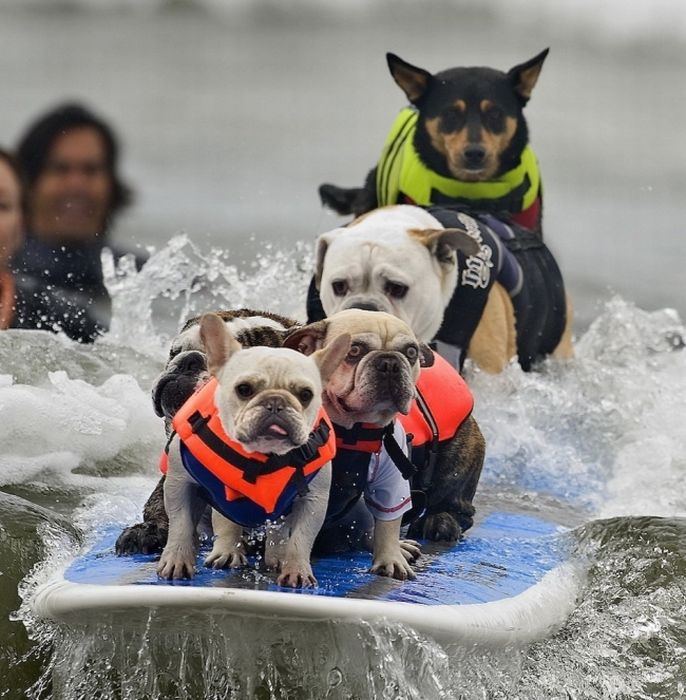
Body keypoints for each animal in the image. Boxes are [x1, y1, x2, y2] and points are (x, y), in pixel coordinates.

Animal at [156, 314, 350, 584]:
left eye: (305, 394)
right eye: (174, 352)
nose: (189, 360)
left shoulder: (313, 498)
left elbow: (300, 537)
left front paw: (295, 569)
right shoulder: (183, 484)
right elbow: (183, 523)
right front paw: (178, 559)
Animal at [282, 308, 486, 556]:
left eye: (411, 352)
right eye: (354, 350)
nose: (390, 362)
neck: (350, 432)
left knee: (457, 507)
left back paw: (440, 520)